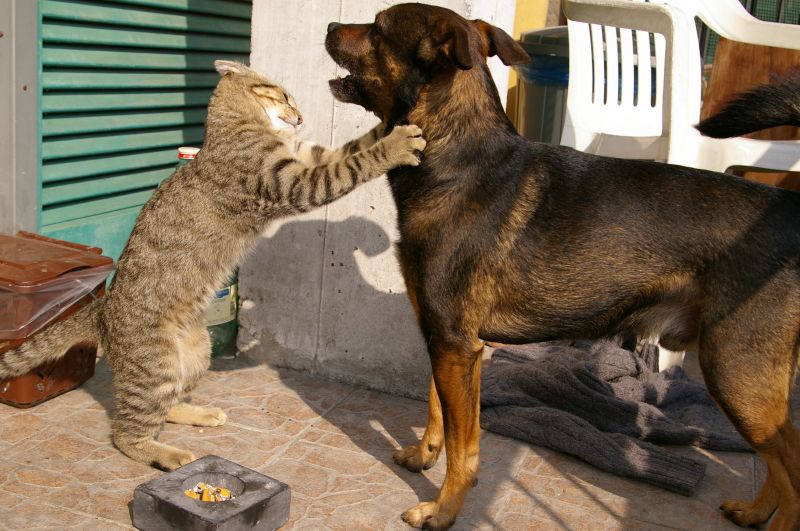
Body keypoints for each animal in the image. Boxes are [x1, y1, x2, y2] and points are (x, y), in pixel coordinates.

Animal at [0, 61, 428, 470]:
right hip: (155, 365)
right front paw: (397, 143)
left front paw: (388, 125)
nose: (301, 116)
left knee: (169, 405)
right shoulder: (294, 182)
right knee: (127, 433)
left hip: (195, 353)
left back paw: (198, 414)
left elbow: (353, 146)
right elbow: (355, 163)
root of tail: (102, 311)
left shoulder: (308, 155)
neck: (237, 127)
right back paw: (165, 454)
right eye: (285, 95)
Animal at [324, 3, 800, 528]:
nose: (329, 25)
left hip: (736, 372)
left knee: (792, 466)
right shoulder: (448, 340)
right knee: (778, 461)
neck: (455, 161)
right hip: (754, 379)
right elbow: (437, 411)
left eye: (378, 29)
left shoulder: (454, 344)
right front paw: (423, 455)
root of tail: (791, 207)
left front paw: (444, 509)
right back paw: (755, 510)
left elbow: (462, 445)